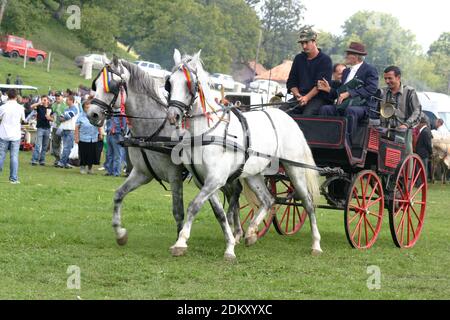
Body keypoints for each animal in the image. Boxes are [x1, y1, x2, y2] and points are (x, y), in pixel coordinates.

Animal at [167, 50, 322, 260]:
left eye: (188, 84)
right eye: (170, 82)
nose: (173, 115)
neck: (206, 132)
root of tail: (288, 118)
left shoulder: (216, 179)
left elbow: (194, 205)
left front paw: (182, 241)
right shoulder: (204, 181)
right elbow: (220, 213)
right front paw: (231, 243)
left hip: (295, 169)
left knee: (308, 203)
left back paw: (316, 244)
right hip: (253, 174)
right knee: (268, 200)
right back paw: (251, 233)